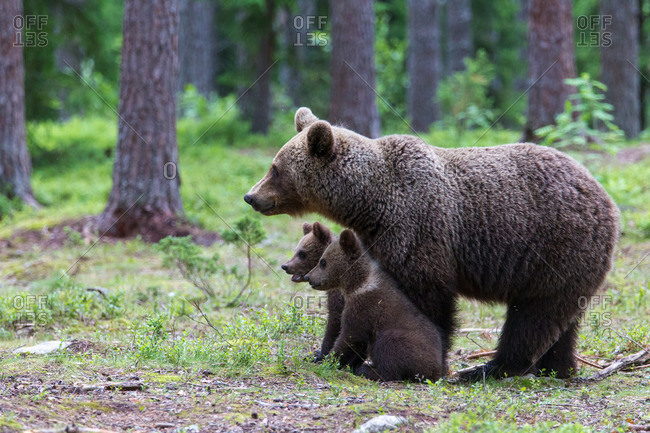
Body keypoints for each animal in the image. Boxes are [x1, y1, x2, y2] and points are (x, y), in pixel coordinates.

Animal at [304, 229, 445, 382]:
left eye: (323, 262)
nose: (308, 277)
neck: (357, 284)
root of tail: (437, 372)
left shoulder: (365, 307)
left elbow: (349, 337)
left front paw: (326, 360)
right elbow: (358, 344)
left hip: (406, 341)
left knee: (389, 349)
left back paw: (368, 370)